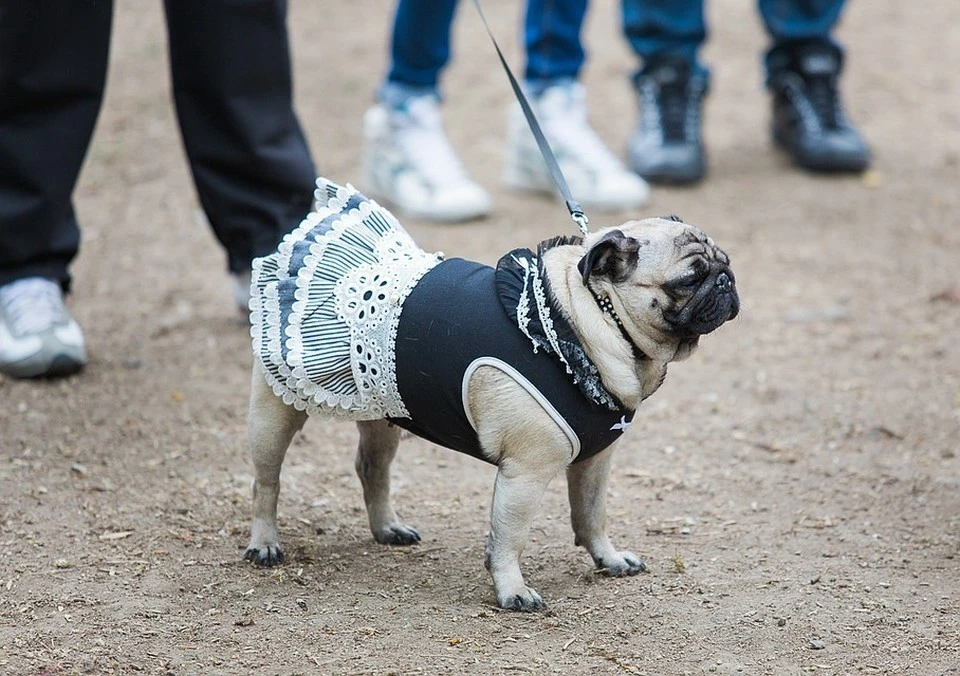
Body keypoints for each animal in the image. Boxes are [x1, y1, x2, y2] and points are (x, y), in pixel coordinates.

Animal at [244, 177, 740, 608]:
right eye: (688, 279)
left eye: (726, 263)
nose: (726, 280)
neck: (579, 322)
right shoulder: (526, 473)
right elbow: (509, 538)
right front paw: (512, 590)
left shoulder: (596, 462)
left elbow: (592, 515)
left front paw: (608, 558)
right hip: (274, 415)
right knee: (267, 482)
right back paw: (264, 543)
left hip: (382, 409)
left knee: (372, 470)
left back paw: (388, 528)